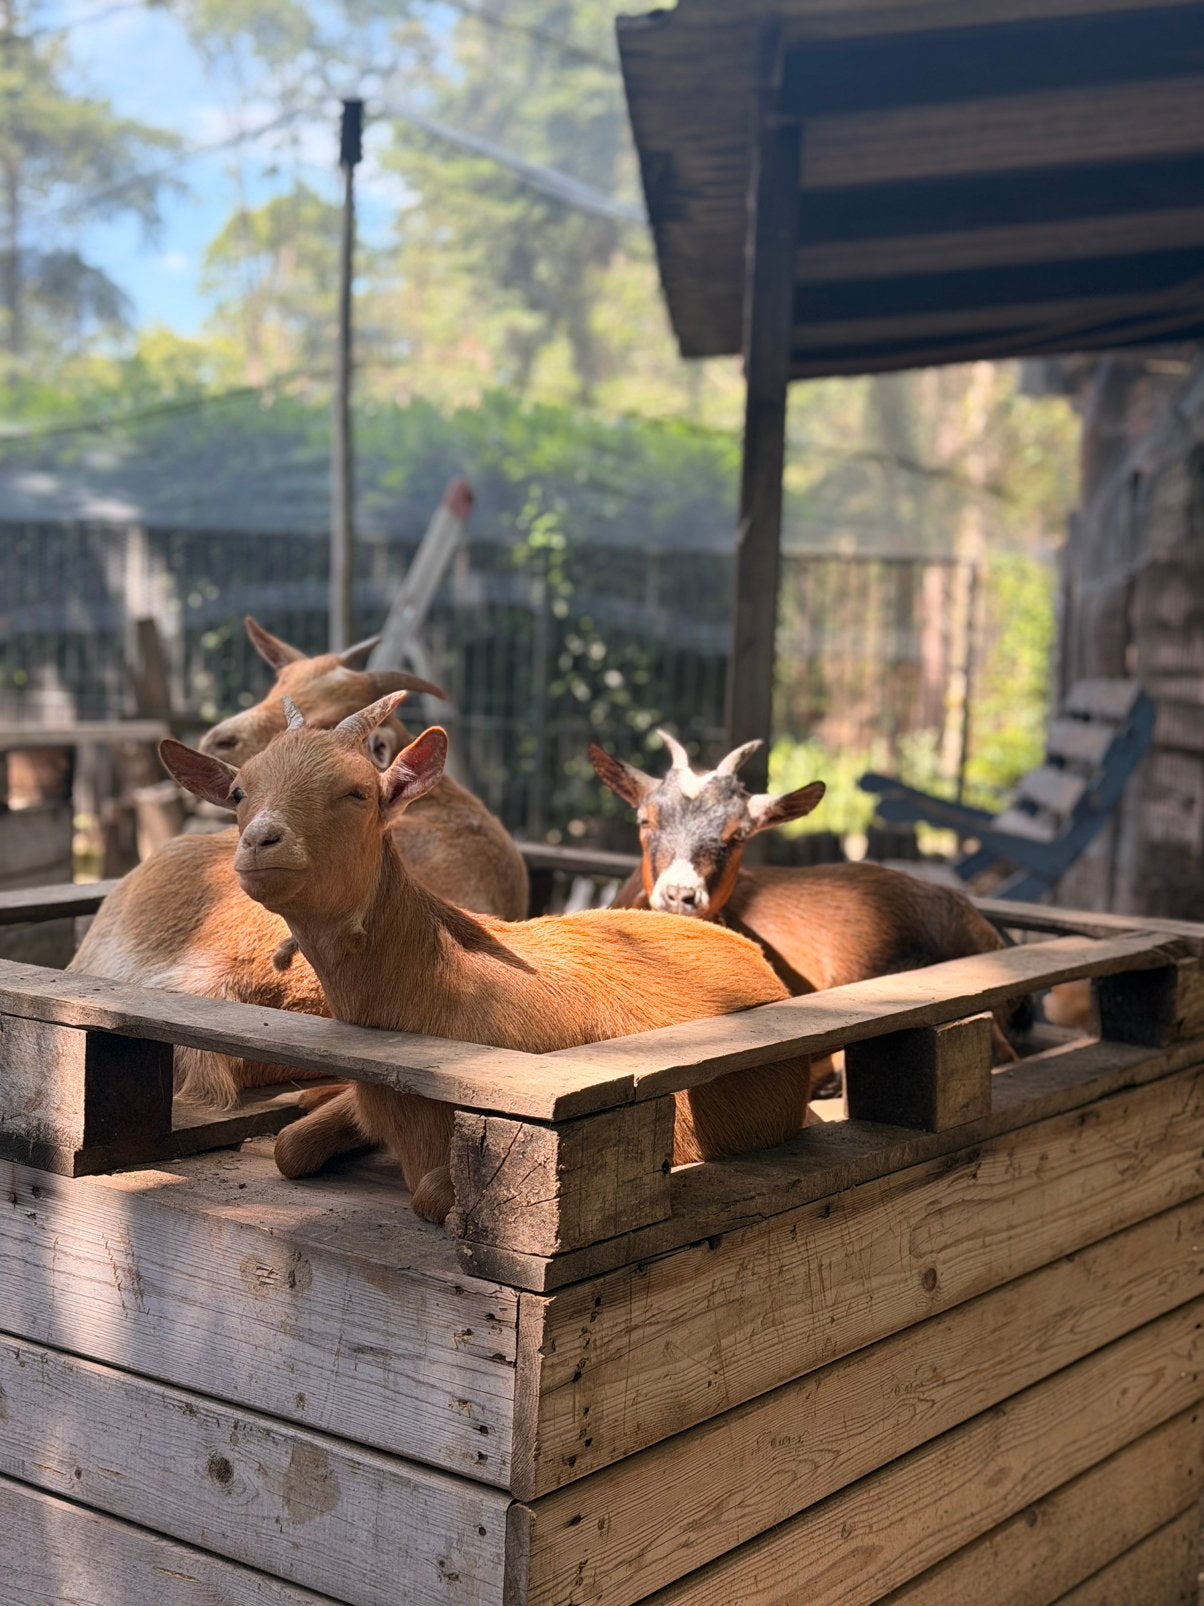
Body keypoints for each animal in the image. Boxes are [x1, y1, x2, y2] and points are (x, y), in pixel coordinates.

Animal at [159, 695, 818, 1225]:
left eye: (357, 792)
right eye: (239, 793)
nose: (260, 843)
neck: (446, 985)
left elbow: (429, 1197)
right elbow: (287, 1149)